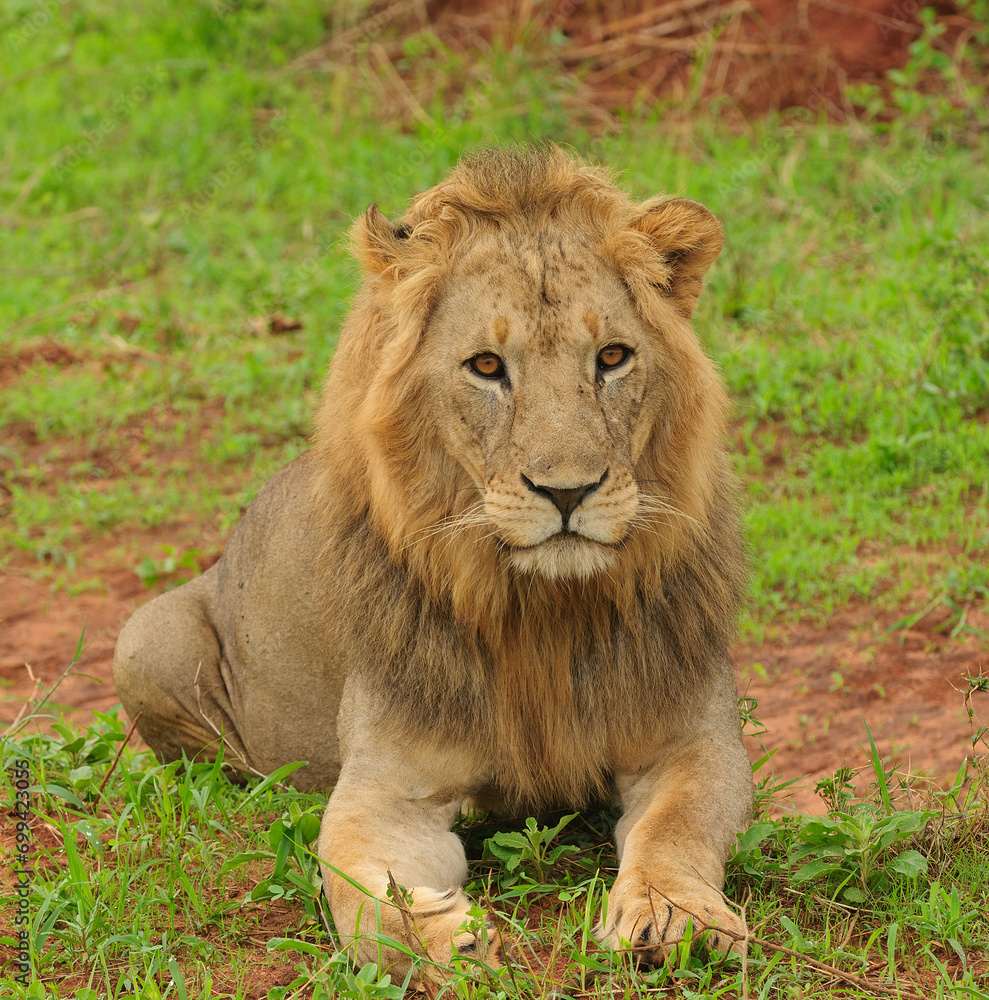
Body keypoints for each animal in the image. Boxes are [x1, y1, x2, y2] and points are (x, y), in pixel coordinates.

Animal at [114, 146, 748, 976]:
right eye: (485, 366)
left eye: (612, 357)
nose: (567, 491)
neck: (542, 612)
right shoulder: (385, 787)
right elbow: (356, 886)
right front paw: (442, 935)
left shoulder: (696, 743)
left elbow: (676, 827)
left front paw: (673, 916)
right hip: (142, 640)